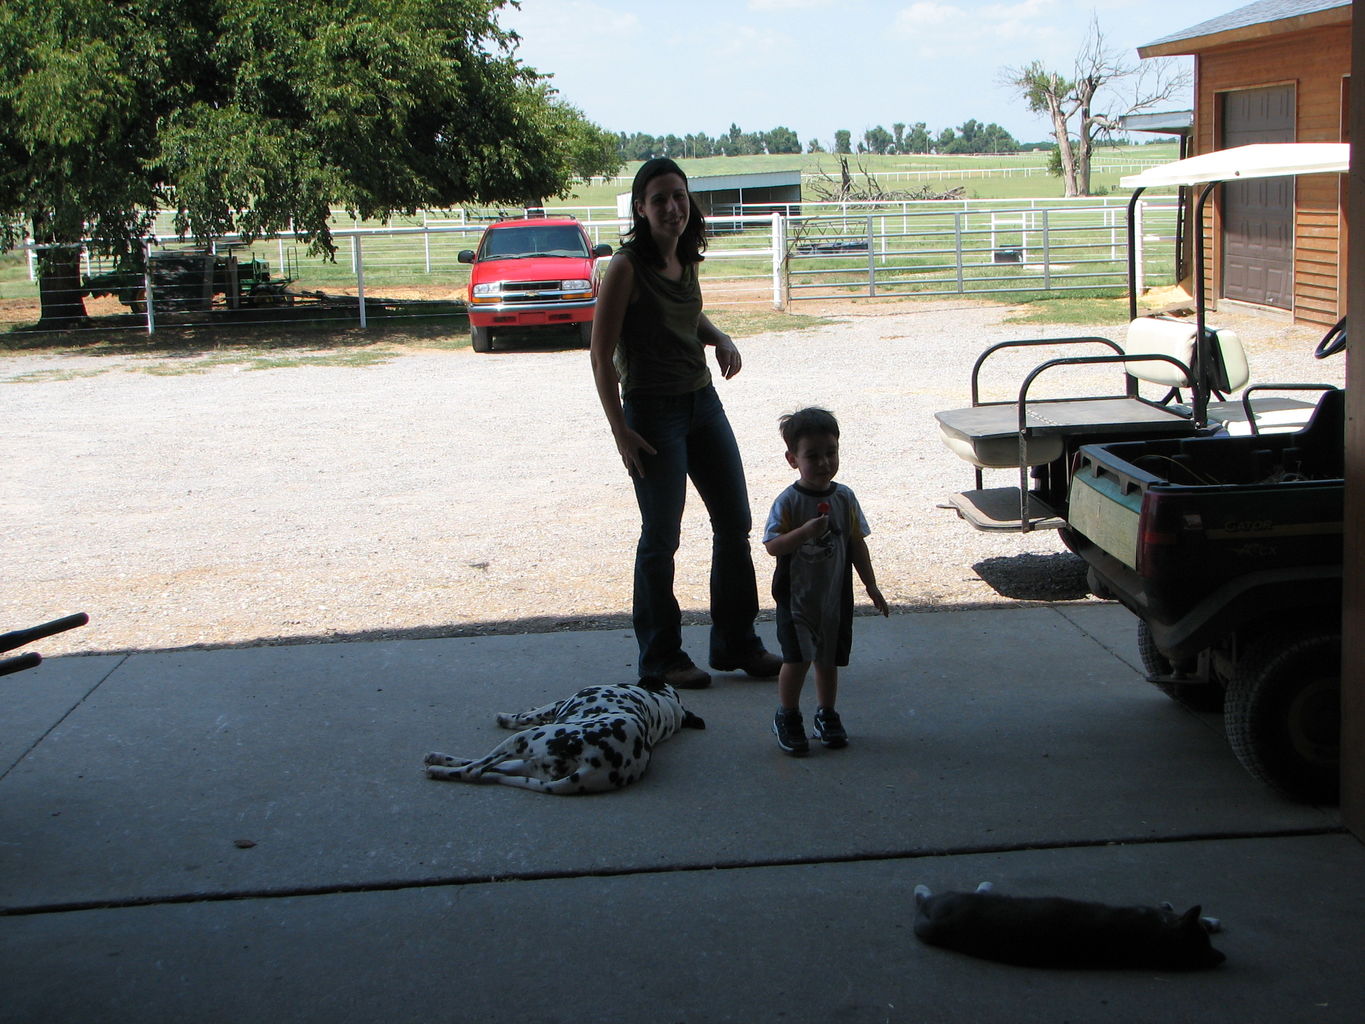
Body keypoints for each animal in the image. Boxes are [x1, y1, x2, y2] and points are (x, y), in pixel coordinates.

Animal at [423, 677, 704, 797]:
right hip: (527, 764)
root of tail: (594, 768)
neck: (665, 707)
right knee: (485, 769)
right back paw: (438, 759)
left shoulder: (558, 704)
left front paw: (507, 717)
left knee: (474, 770)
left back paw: (438, 769)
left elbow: (528, 714)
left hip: (524, 739)